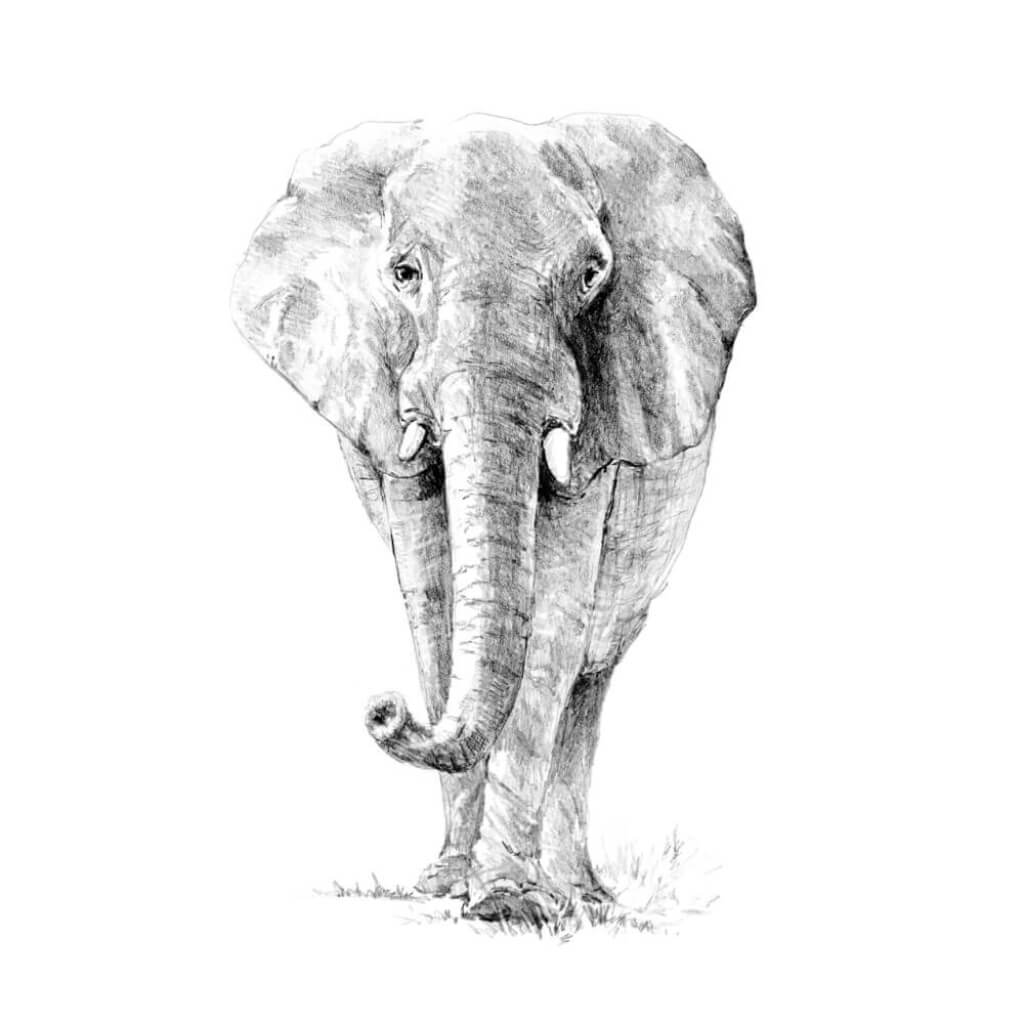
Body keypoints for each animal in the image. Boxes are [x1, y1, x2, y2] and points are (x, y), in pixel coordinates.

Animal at [231, 113, 755, 923]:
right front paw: (449, 887)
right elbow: (432, 597)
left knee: (591, 670)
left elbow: (556, 614)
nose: (382, 709)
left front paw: (509, 903)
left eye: (592, 276)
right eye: (404, 275)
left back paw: (581, 897)